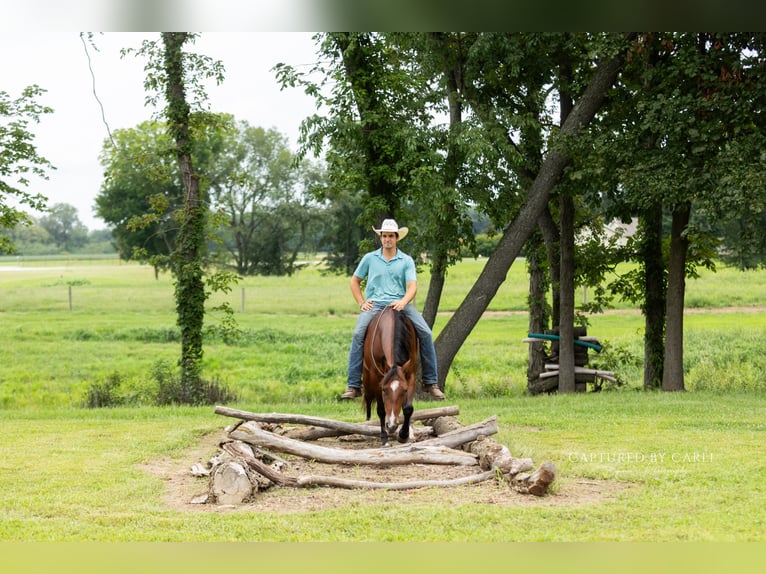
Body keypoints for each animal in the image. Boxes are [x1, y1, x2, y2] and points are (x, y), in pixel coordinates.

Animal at [362, 306, 419, 446]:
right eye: (384, 390)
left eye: (404, 390)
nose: (392, 426)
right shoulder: (377, 378)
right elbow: (381, 410)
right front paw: (384, 439)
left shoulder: (411, 374)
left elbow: (408, 408)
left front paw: (404, 435)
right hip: (367, 378)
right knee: (368, 399)